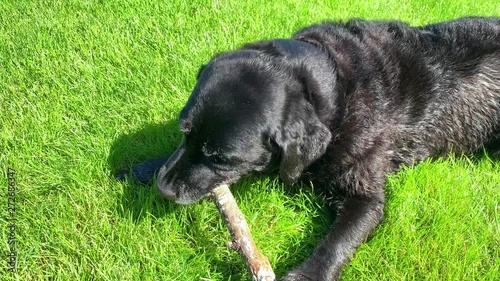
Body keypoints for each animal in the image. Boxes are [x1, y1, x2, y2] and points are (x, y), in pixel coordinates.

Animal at [122, 17, 500, 278]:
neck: (334, 85)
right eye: (184, 133)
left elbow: (338, 242)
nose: (164, 188)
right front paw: (143, 167)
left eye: (221, 159)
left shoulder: (365, 196)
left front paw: (306, 275)